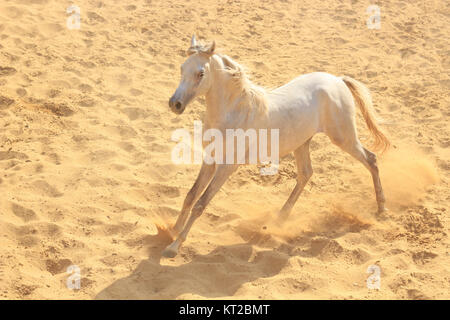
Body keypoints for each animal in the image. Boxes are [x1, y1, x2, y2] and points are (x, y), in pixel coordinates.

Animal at [163, 35, 388, 258]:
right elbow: (191, 196)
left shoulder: (227, 167)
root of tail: (338, 80)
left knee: (371, 159)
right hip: (302, 143)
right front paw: (172, 230)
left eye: (201, 73)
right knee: (306, 173)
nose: (175, 104)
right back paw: (279, 219)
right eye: (182, 68)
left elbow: (201, 204)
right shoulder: (210, 160)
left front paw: (174, 246)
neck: (234, 113)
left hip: (343, 137)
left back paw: (382, 209)